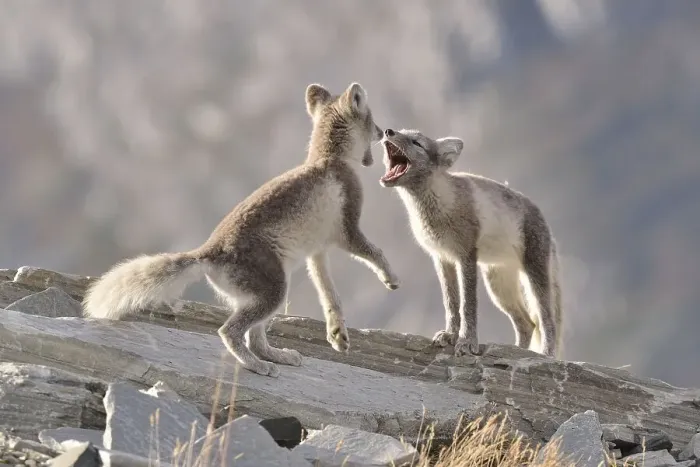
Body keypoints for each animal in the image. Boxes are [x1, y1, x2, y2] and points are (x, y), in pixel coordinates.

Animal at [82, 82, 400, 377]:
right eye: (371, 118)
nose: (383, 131)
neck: (329, 158)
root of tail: (207, 253)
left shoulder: (317, 253)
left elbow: (329, 294)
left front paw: (337, 334)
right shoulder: (347, 230)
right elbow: (375, 252)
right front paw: (391, 278)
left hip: (269, 293)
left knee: (255, 338)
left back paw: (279, 356)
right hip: (274, 290)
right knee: (230, 331)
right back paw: (256, 365)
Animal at [378, 128, 563, 359]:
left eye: (416, 142)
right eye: (402, 132)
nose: (388, 131)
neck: (437, 205)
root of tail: (547, 225)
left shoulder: (466, 255)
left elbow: (468, 305)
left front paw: (466, 342)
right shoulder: (442, 258)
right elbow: (451, 303)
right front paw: (450, 335)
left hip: (533, 276)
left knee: (547, 320)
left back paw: (546, 354)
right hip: (498, 287)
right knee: (527, 324)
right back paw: (514, 351)